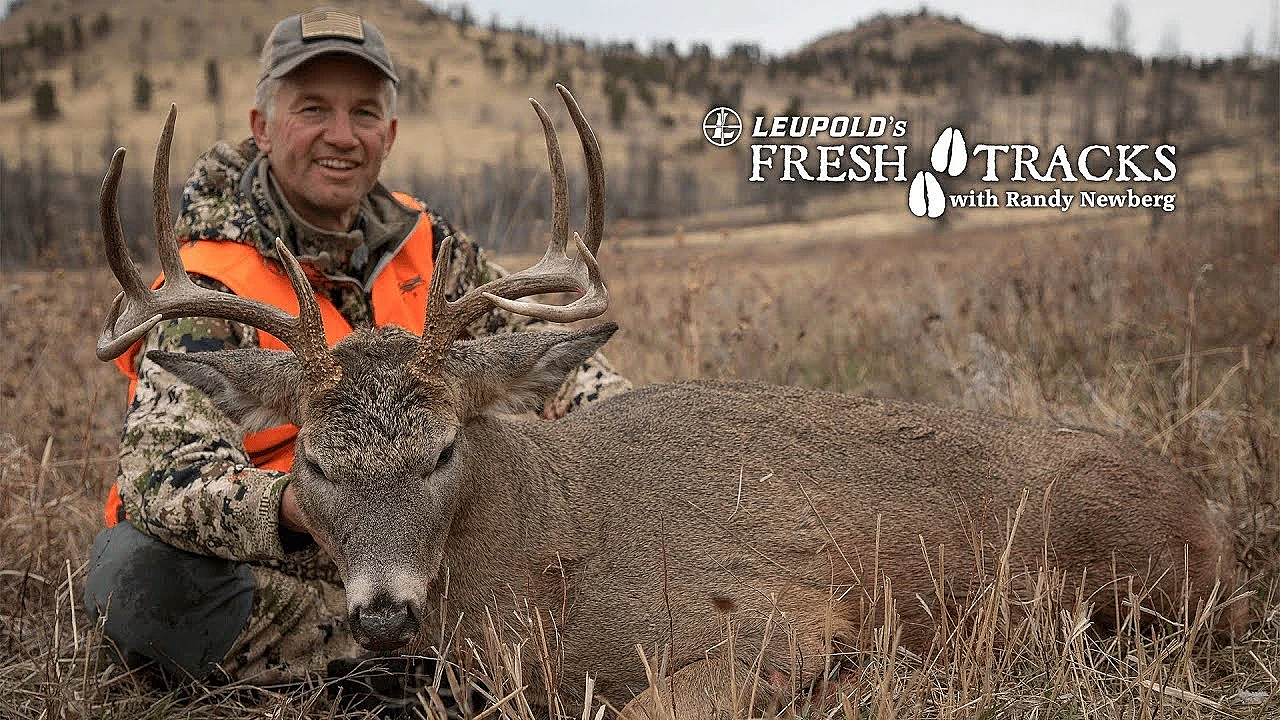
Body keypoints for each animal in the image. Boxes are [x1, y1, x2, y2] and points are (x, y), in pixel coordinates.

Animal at [96, 88, 1243, 720]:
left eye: (442, 451)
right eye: (314, 463)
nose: (381, 614)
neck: (543, 559)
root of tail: (1211, 520)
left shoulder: (774, 617)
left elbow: (651, 706)